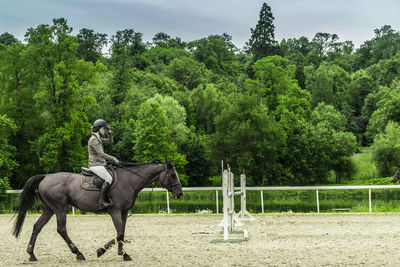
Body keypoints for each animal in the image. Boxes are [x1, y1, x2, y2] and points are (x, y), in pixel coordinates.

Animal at [10, 159, 183, 262]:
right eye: (172, 175)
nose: (180, 193)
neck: (129, 181)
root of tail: (45, 177)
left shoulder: (123, 213)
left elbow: (122, 233)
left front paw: (122, 253)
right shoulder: (115, 212)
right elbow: (119, 233)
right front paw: (102, 250)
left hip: (49, 210)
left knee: (37, 227)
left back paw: (32, 254)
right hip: (60, 208)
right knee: (61, 229)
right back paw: (78, 253)